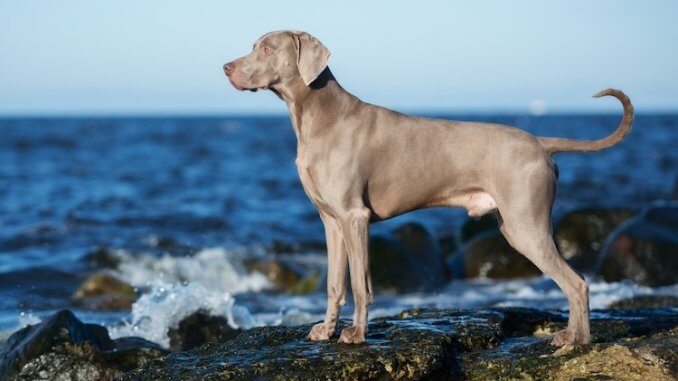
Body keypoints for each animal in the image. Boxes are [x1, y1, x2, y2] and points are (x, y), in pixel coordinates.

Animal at [224, 29, 636, 344]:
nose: (226, 67)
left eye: (267, 48)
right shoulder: (331, 221)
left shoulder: (354, 217)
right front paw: (326, 331)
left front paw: (356, 335)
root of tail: (539, 141)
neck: (317, 116)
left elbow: (360, 284)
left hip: (526, 225)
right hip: (514, 224)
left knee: (577, 283)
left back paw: (575, 341)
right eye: (254, 44)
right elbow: (334, 284)